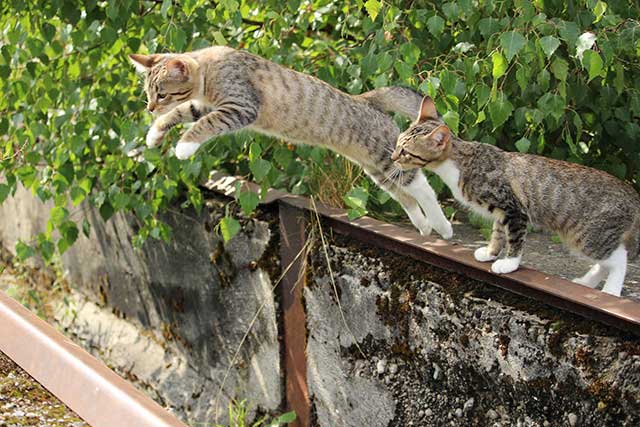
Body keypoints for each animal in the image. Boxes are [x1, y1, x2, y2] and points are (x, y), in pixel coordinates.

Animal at [127, 48, 452, 241]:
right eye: (148, 93)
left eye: (162, 93)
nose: (150, 107)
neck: (209, 67)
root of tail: (366, 99)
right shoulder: (205, 105)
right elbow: (182, 113)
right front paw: (154, 134)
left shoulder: (239, 108)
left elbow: (202, 124)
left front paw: (184, 146)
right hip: (378, 169)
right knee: (404, 194)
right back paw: (424, 225)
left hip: (387, 157)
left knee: (423, 187)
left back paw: (443, 227)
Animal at [390, 96, 640, 298]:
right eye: (397, 142)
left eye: (405, 152)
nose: (392, 157)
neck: (461, 163)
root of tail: (632, 193)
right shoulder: (501, 213)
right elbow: (498, 233)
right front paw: (490, 252)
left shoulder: (514, 209)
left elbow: (515, 239)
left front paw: (509, 263)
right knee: (606, 261)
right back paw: (586, 282)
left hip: (587, 236)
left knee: (619, 258)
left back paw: (611, 290)